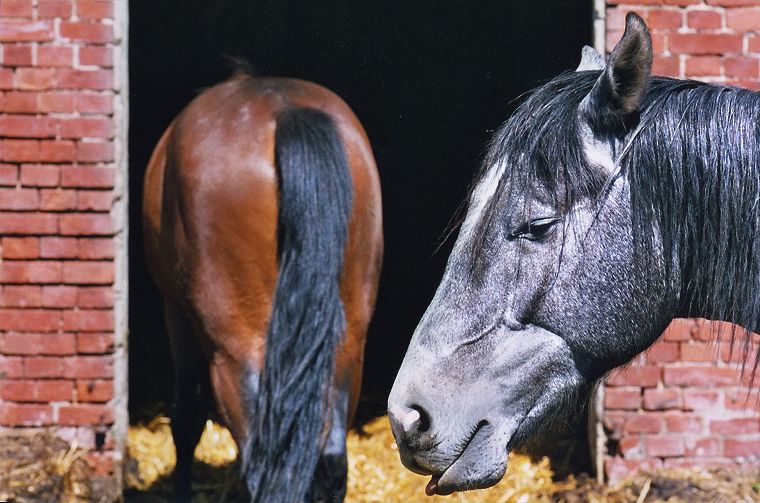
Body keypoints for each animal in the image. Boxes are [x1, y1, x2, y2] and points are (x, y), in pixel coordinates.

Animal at [142, 68, 382, 503]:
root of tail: (284, 110)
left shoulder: (177, 313)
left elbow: (186, 419)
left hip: (235, 350)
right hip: (347, 347)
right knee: (332, 460)